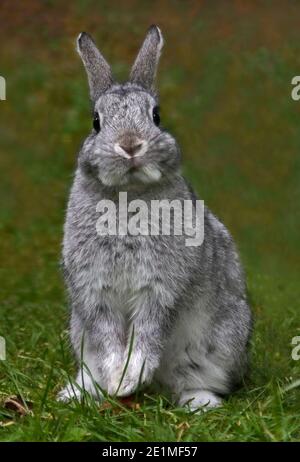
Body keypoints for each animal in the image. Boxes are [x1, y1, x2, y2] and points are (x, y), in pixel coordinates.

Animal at [57, 26, 252, 408]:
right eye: (96, 122)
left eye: (156, 116)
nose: (130, 144)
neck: (128, 195)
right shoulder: (94, 291)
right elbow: (109, 339)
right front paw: (118, 382)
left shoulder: (161, 290)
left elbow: (147, 335)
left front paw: (129, 380)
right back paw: (77, 394)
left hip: (220, 343)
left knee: (187, 379)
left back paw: (200, 403)